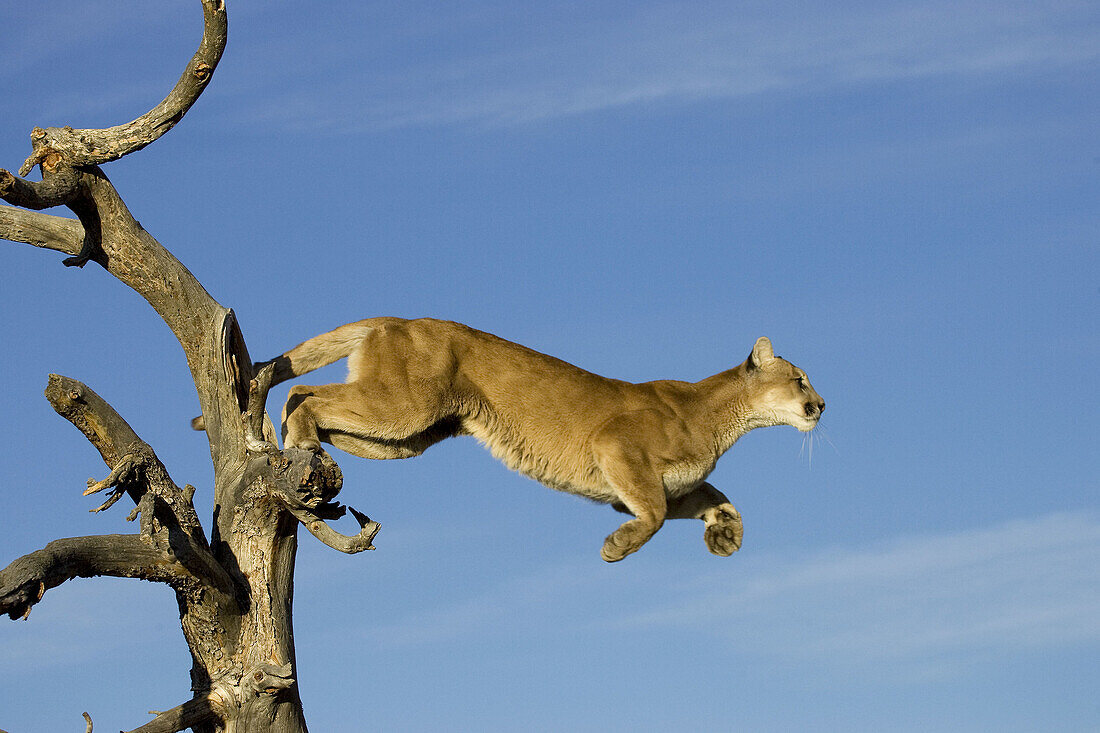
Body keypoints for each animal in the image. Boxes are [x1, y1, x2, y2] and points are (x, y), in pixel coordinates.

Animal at [249, 316, 822, 561]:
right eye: (800, 379)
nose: (822, 405)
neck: (720, 416)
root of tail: (398, 316)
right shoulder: (618, 449)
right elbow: (656, 514)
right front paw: (616, 548)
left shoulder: (653, 486)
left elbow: (715, 497)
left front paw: (726, 536)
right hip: (403, 407)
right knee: (303, 391)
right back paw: (300, 445)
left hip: (406, 434)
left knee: (315, 402)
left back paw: (302, 448)